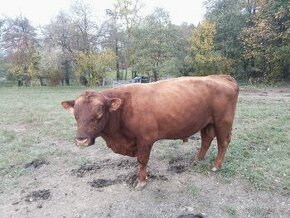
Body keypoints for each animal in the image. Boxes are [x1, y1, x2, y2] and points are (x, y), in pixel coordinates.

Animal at [60, 74, 238, 189]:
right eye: (75, 115)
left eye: (99, 115)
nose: (81, 140)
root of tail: (221, 77)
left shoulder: (145, 140)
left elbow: (142, 160)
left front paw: (141, 181)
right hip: (206, 123)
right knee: (206, 139)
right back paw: (197, 159)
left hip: (223, 122)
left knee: (223, 142)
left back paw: (216, 165)